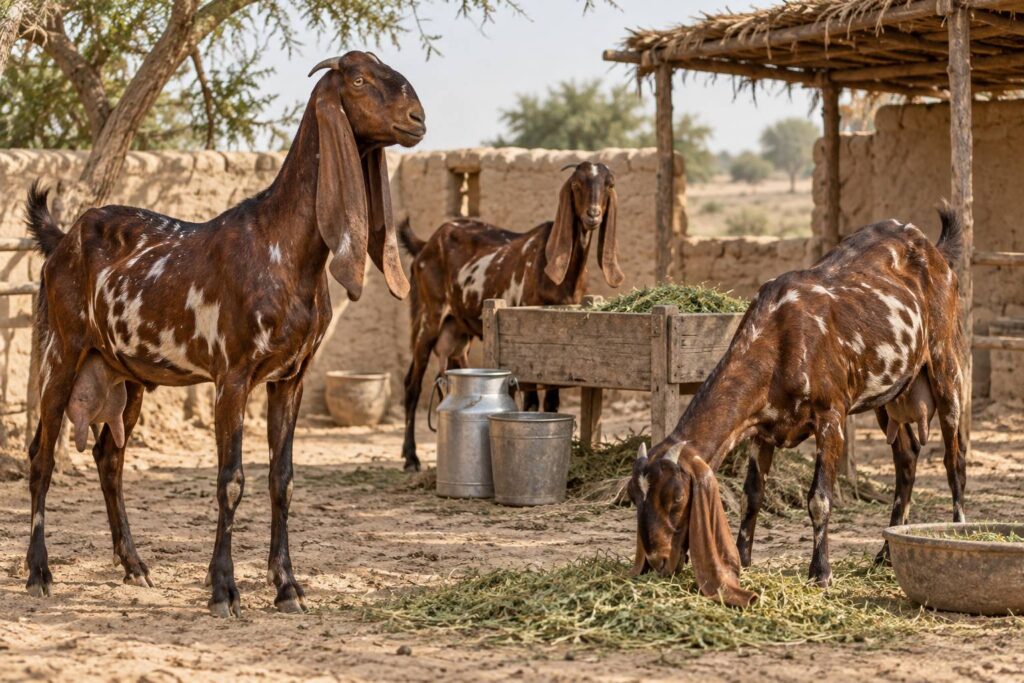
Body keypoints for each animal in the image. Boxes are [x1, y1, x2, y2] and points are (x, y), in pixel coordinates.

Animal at [21, 51, 425, 617]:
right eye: (361, 79)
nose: (417, 119)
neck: (284, 246)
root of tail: (61, 239)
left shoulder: (291, 378)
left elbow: (283, 480)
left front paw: (287, 587)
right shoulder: (232, 377)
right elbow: (230, 480)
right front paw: (223, 590)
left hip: (127, 375)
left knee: (109, 458)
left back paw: (135, 566)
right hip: (63, 351)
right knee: (42, 456)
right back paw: (39, 572)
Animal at [397, 161, 622, 471]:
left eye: (609, 184)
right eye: (577, 184)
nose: (593, 215)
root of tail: (425, 244)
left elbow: (551, 403)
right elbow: (531, 402)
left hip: (458, 328)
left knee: (452, 370)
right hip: (428, 316)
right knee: (412, 383)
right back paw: (411, 457)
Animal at [627, 209, 966, 603]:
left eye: (677, 499)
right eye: (634, 497)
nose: (656, 561)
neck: (781, 336)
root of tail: (934, 251)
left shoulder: (831, 417)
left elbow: (819, 499)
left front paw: (820, 573)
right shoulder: (761, 429)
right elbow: (752, 496)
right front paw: (743, 559)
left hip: (945, 364)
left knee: (954, 459)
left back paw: (959, 530)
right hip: (890, 394)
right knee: (907, 459)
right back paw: (884, 553)